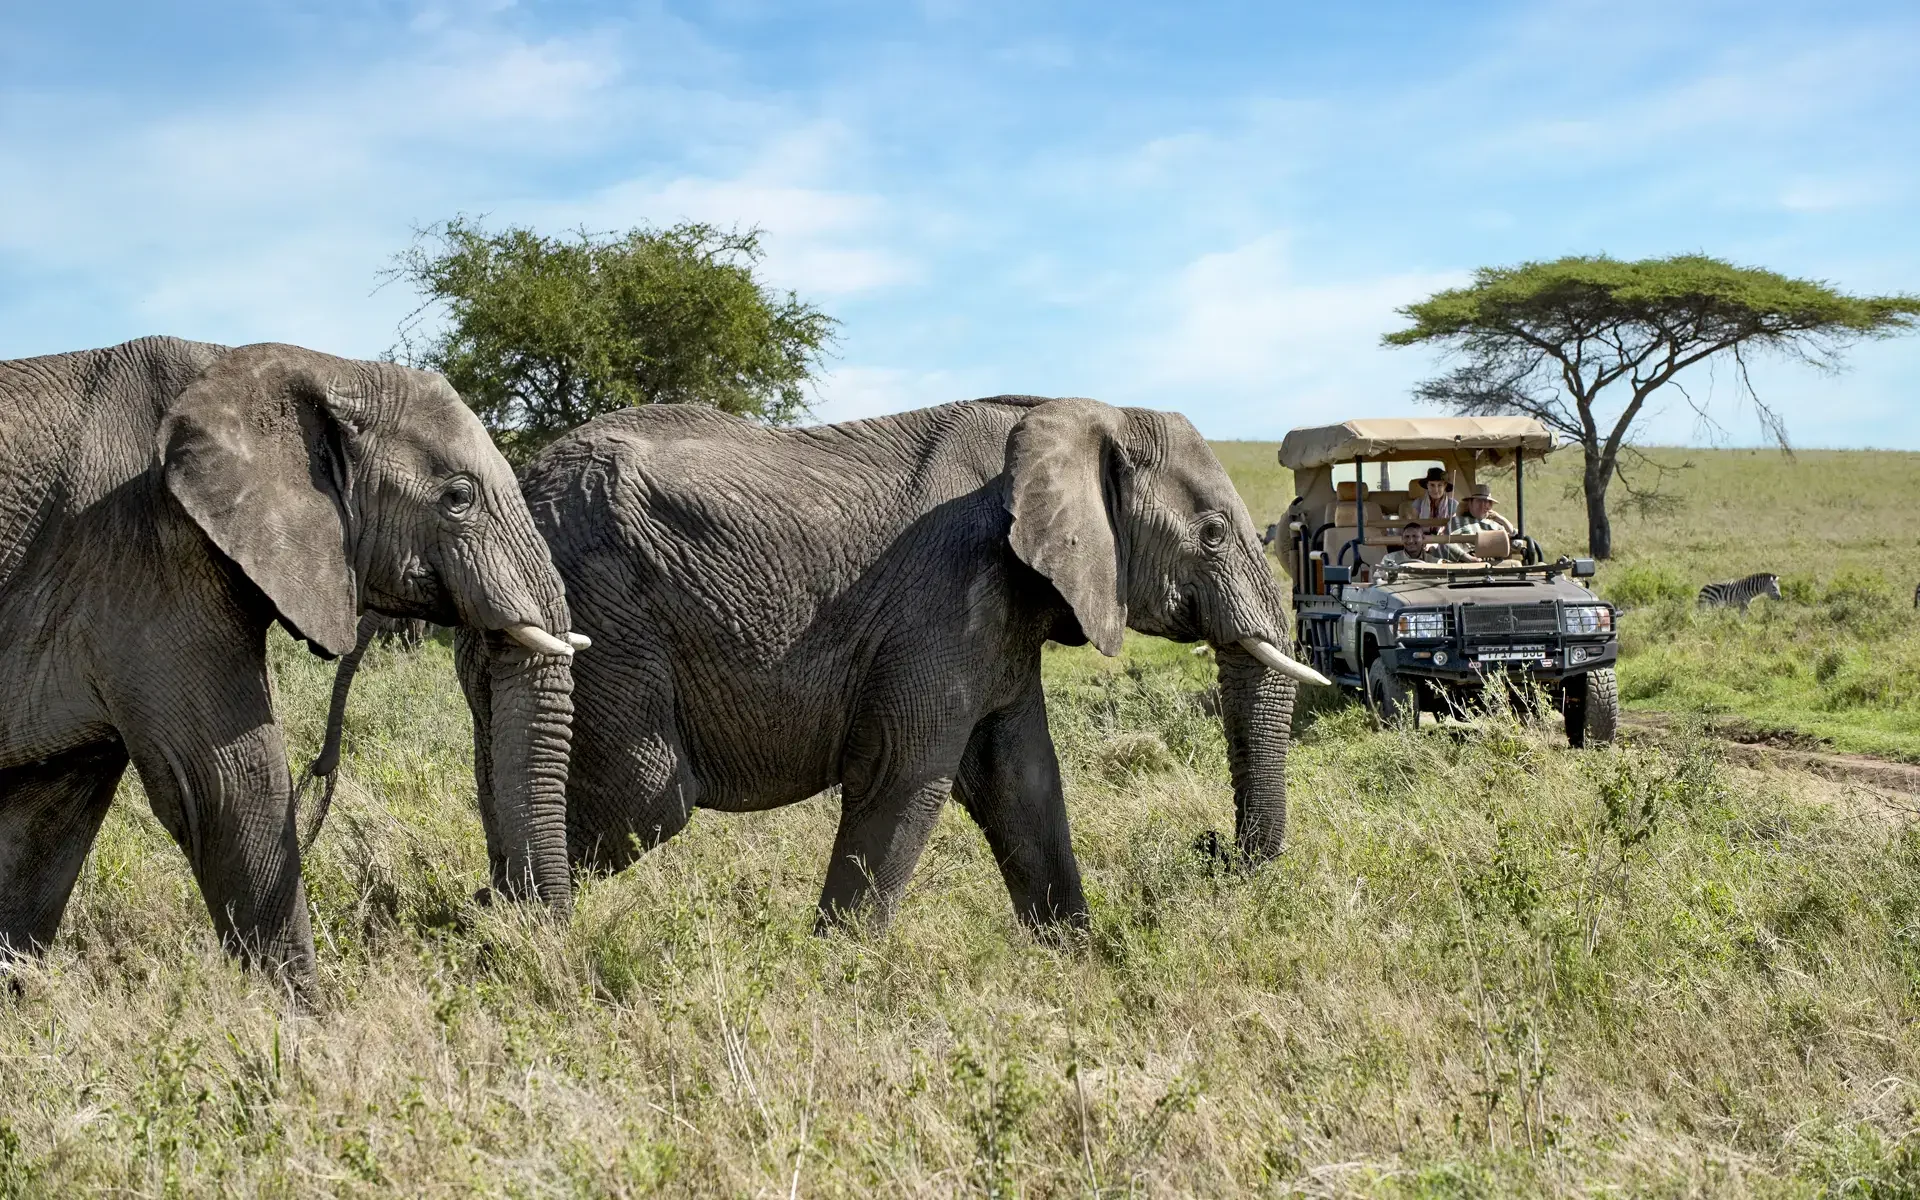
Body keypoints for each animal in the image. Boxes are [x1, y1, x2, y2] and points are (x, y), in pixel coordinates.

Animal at [0, 336, 586, 989]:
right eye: (459, 499)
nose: (492, 906)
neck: (322, 367)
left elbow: (47, 819)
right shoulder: (146, 556)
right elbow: (225, 786)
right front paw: (303, 1013)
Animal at [458, 394, 1324, 933]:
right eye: (1213, 534)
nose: (1212, 848)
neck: (1071, 408)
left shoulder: (999, 617)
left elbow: (1023, 782)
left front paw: (1078, 960)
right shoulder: (944, 595)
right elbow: (907, 773)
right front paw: (835, 983)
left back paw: (481, 930)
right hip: (602, 608)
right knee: (649, 795)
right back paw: (502, 930)